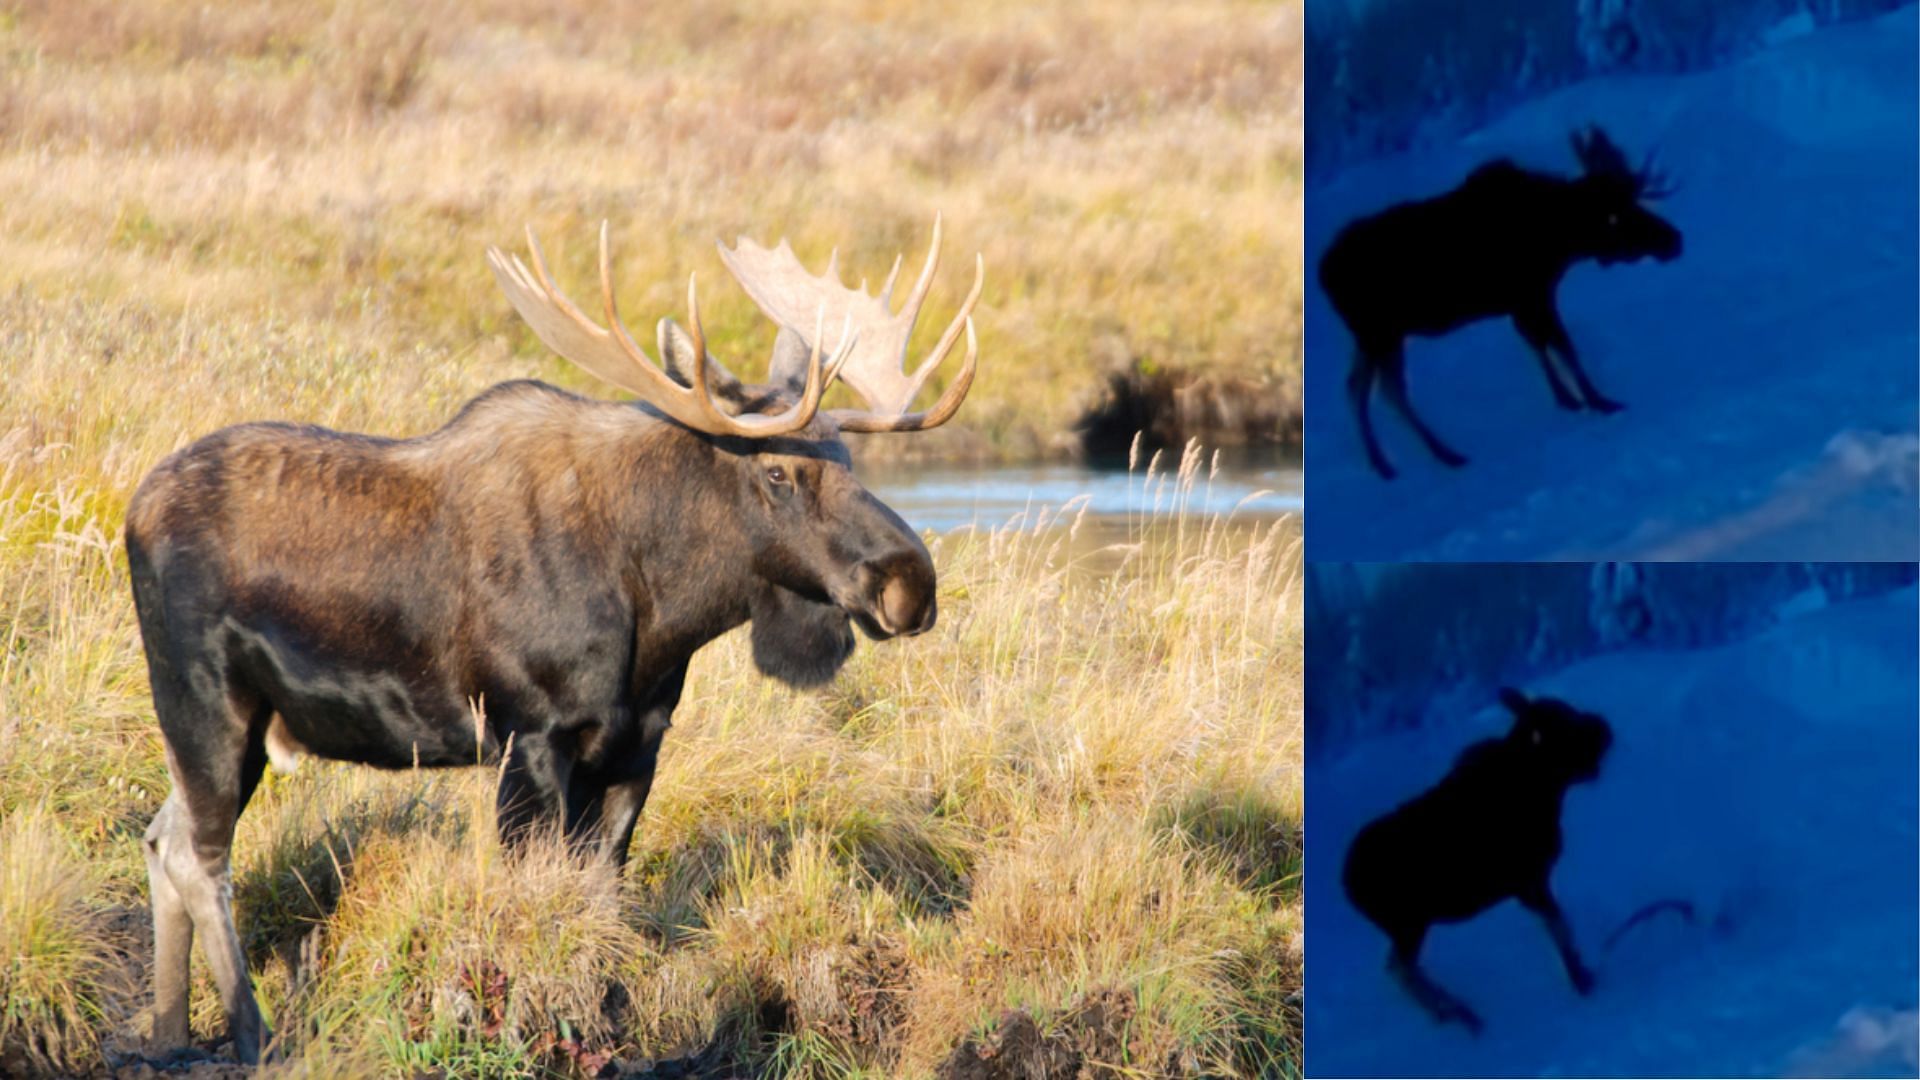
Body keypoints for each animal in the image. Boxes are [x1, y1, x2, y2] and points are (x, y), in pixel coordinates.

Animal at [131, 214, 990, 1053]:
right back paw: (249, 1032)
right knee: (198, 855)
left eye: (851, 458)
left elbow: (605, 900)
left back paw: (170, 1036)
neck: (660, 610)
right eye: (776, 472)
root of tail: (135, 512)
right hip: (205, 702)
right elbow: (530, 914)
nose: (910, 582)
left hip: (241, 729)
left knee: (160, 836)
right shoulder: (532, 736)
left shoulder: (636, 746)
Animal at [1320, 122, 1681, 474]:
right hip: (1382, 333)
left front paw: (1568, 399)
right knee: (1388, 391)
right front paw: (1599, 400)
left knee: (1355, 387)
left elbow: (1539, 345)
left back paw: (1382, 462)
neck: (1559, 238)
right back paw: (1445, 454)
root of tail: (1323, 274)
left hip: (1370, 337)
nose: (1674, 239)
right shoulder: (1534, 295)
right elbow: (1563, 346)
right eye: (1617, 215)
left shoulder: (1524, 303)